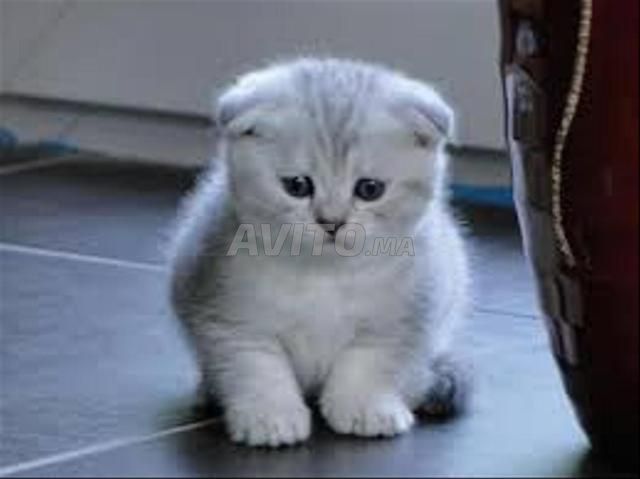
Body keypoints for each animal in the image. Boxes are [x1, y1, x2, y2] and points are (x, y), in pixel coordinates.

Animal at [168, 58, 471, 447]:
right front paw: (270, 415)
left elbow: (371, 364)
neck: (325, 277)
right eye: (297, 186)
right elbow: (256, 366)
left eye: (370, 189)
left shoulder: (405, 317)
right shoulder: (227, 315)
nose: (331, 222)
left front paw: (365, 407)